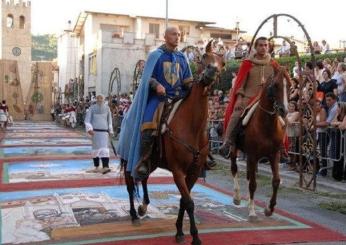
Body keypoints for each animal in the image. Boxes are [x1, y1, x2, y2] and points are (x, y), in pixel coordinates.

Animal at [121, 40, 224, 245]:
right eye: (204, 57)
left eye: (222, 64)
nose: (211, 72)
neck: (192, 125)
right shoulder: (178, 171)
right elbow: (189, 202)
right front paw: (194, 236)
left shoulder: (193, 171)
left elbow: (184, 200)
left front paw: (179, 231)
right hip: (129, 157)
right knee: (130, 184)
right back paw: (134, 214)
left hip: (152, 160)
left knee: (143, 177)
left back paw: (143, 207)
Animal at [230, 68, 290, 220]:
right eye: (275, 85)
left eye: (290, 85)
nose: (284, 110)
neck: (266, 125)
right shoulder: (252, 156)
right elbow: (253, 184)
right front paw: (252, 211)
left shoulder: (274, 155)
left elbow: (276, 181)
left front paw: (269, 209)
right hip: (234, 148)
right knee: (234, 169)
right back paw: (237, 197)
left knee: (248, 174)